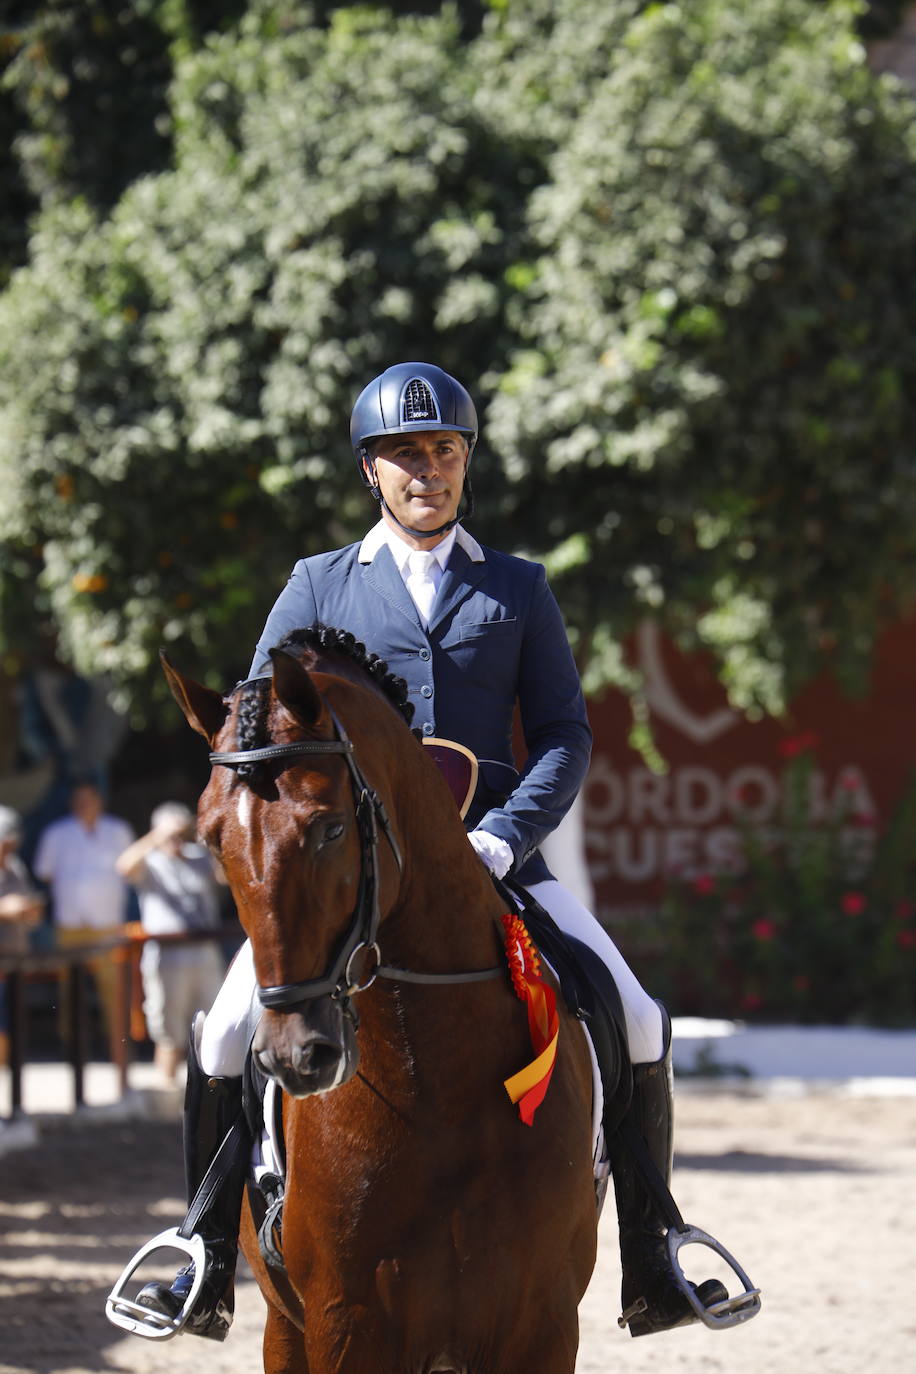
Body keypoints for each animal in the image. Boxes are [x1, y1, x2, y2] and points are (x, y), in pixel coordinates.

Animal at [161, 629, 598, 1368]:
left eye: (331, 829)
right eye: (211, 839)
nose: (295, 1056)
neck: (432, 1080)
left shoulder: (541, 1323)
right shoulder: (345, 1322)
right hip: (284, 1326)